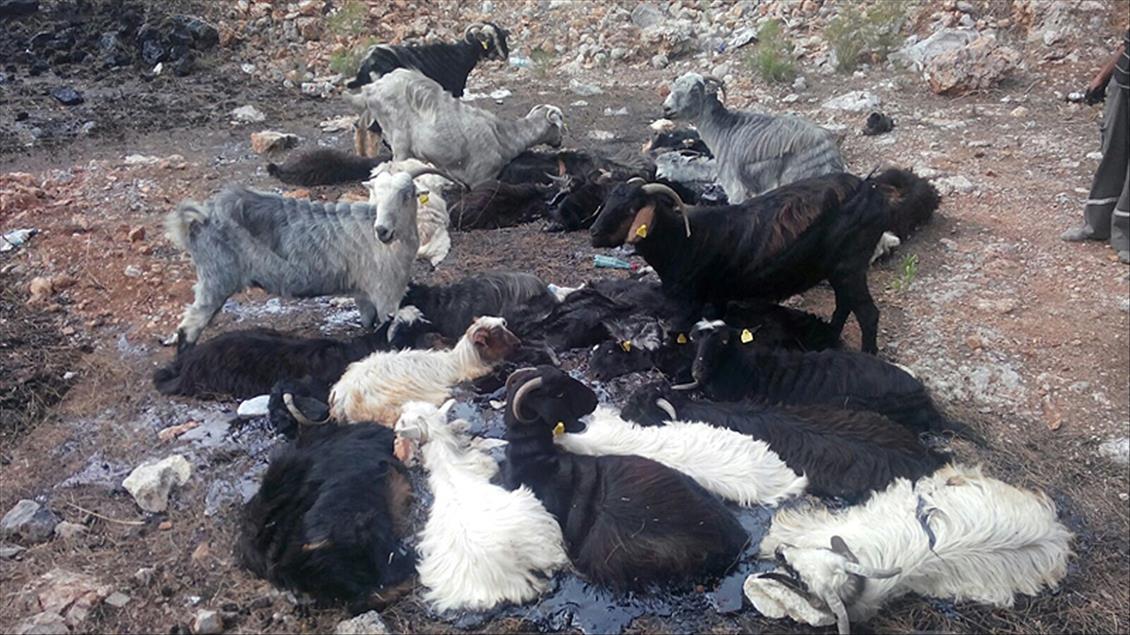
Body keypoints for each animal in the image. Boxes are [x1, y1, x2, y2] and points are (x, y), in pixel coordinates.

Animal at [165, 168, 436, 351]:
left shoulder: (364, 293)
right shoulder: (386, 293)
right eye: (376, 194)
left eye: (406, 195)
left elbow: (368, 323)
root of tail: (200, 217)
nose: (382, 230)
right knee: (189, 327)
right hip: (217, 277)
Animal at [346, 69, 564, 186]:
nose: (560, 142)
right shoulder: (482, 177)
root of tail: (371, 88)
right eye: (559, 122)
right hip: (399, 139)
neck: (502, 136)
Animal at [590, 170, 940, 352]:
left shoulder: (699, 298)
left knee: (867, 314)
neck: (683, 240)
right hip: (839, 269)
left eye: (630, 209)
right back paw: (828, 337)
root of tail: (873, 190)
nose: (593, 233)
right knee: (844, 305)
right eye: (607, 202)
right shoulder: (716, 298)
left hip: (850, 265)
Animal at [661, 73, 845, 203]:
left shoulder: (734, 188)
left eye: (694, 90)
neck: (723, 130)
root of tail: (830, 153)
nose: (666, 109)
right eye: (673, 87)